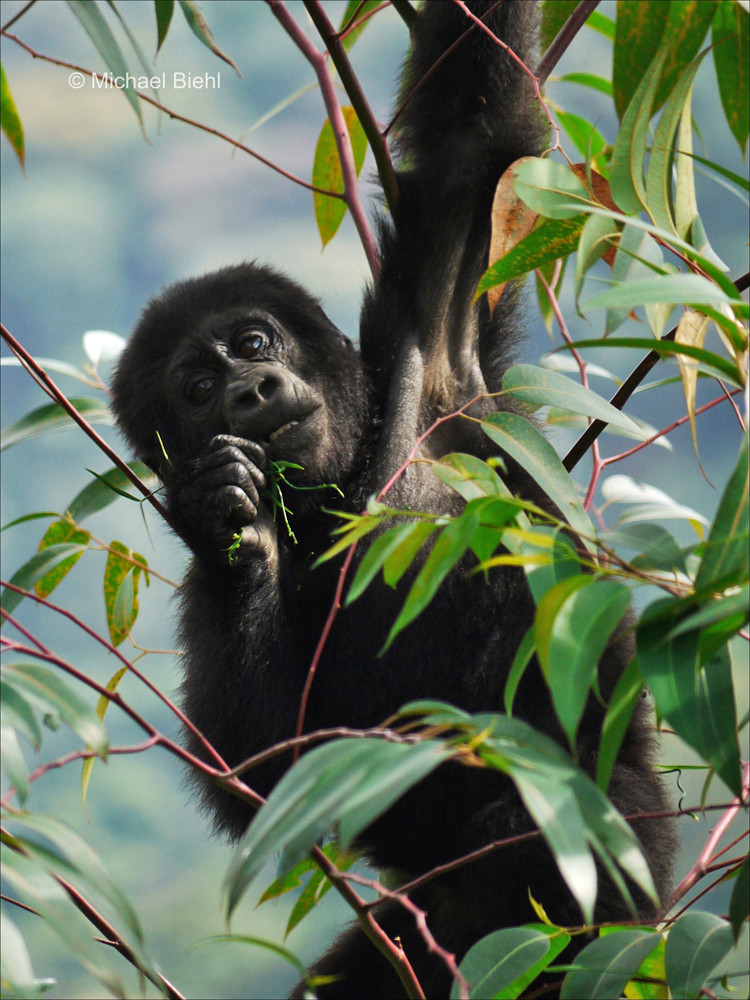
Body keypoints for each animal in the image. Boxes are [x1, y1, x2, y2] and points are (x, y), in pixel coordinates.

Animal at [114, 3, 680, 996]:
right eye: (195, 389)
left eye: (252, 342)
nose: (249, 391)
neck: (339, 489)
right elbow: (268, 766)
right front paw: (227, 524)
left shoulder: (432, 353)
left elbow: (473, 139)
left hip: (615, 845)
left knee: (539, 833)